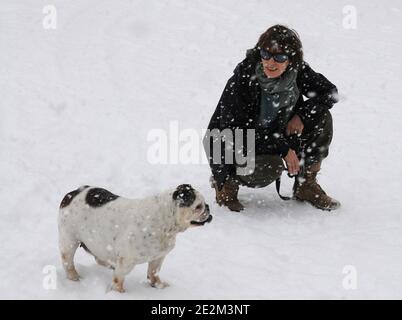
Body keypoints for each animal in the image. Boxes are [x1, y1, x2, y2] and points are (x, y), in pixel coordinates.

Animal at [59, 184, 214, 292]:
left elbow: (153, 272)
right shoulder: (126, 261)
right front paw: (120, 293)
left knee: (98, 256)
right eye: (198, 206)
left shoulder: (158, 257)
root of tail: (71, 194)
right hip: (69, 240)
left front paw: (159, 286)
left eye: (204, 204)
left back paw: (109, 264)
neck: (167, 220)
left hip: (97, 241)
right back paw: (74, 277)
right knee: (68, 261)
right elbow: (118, 279)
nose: (207, 207)